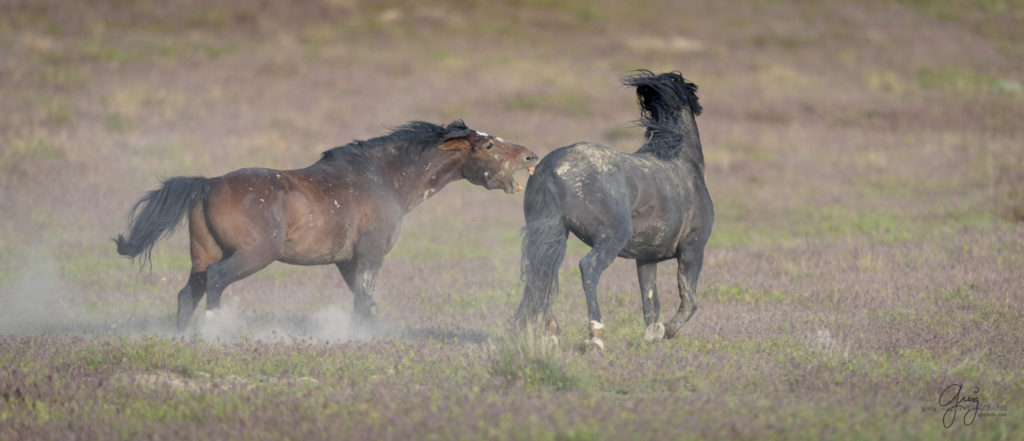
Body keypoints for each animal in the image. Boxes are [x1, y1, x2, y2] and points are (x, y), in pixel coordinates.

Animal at [115, 120, 540, 331]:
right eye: (488, 145)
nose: (530, 155)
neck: (385, 178)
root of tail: (207, 184)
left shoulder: (346, 262)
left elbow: (366, 304)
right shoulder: (369, 256)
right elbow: (364, 302)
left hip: (201, 258)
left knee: (188, 295)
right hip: (252, 255)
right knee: (217, 283)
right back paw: (215, 330)